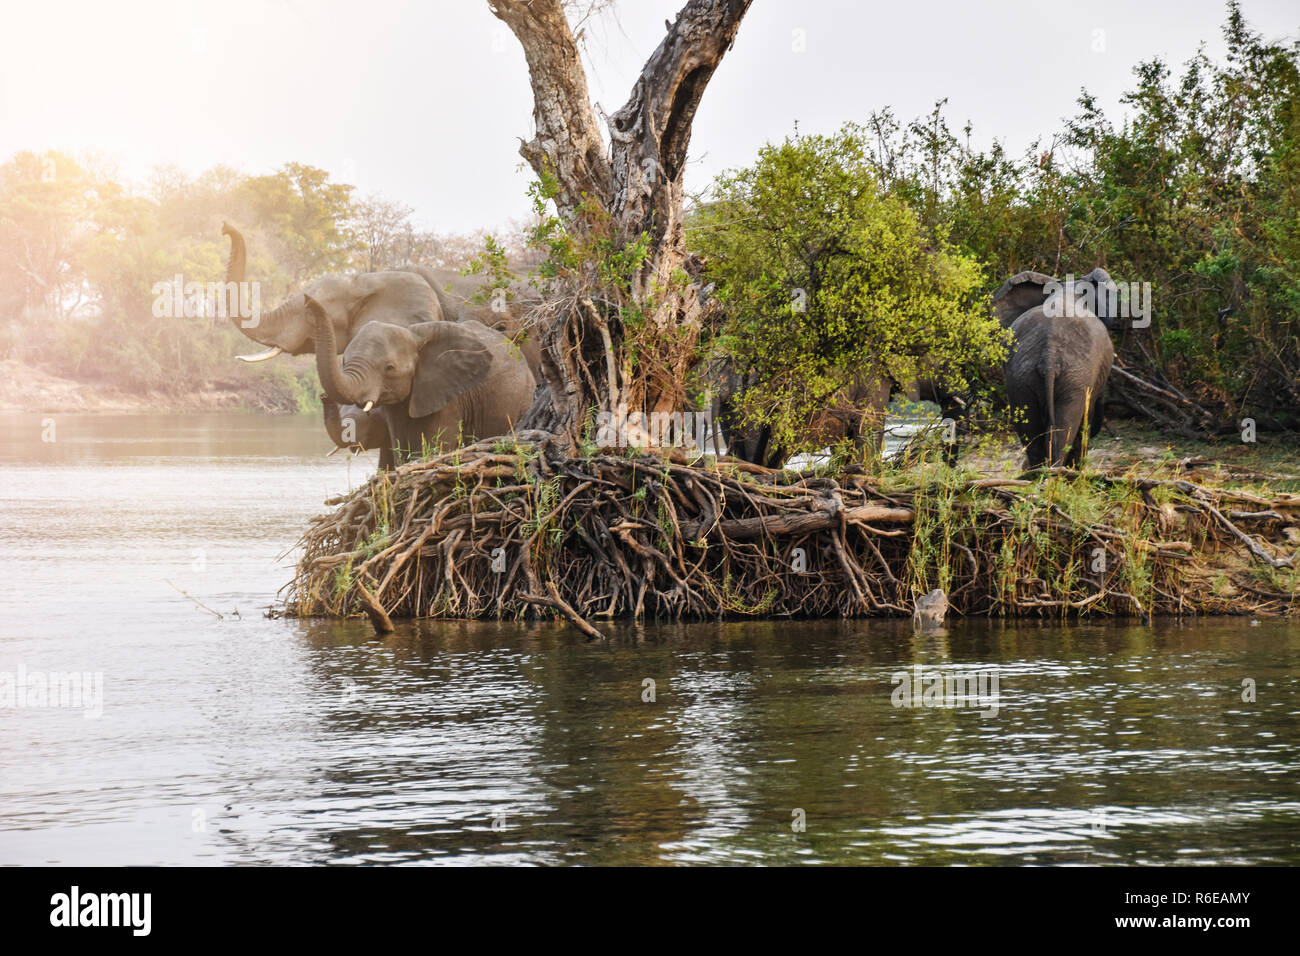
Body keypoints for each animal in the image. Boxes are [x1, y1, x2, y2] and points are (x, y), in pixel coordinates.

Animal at [309, 293, 533, 468]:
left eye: (389, 368)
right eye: (344, 361)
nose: (322, 396)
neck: (412, 334)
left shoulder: (448, 395)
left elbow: (434, 447)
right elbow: (400, 451)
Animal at [993, 267, 1118, 468]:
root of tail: (1049, 355)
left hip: (1020, 378)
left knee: (1031, 430)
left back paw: (1038, 472)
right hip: (1075, 379)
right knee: (1065, 427)